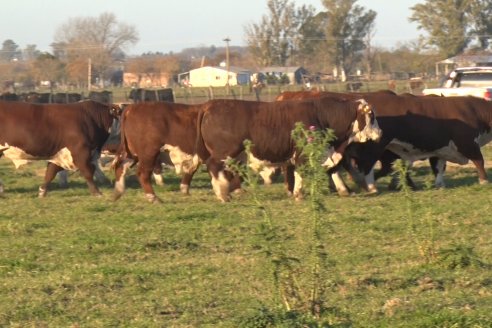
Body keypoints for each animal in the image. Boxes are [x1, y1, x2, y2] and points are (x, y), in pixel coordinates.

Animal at [194, 96, 382, 202]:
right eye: (372, 115)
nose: (380, 133)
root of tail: (210, 105)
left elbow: (332, 170)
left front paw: (344, 190)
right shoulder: (304, 154)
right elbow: (303, 172)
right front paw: (299, 193)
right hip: (224, 153)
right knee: (213, 166)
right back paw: (223, 194)